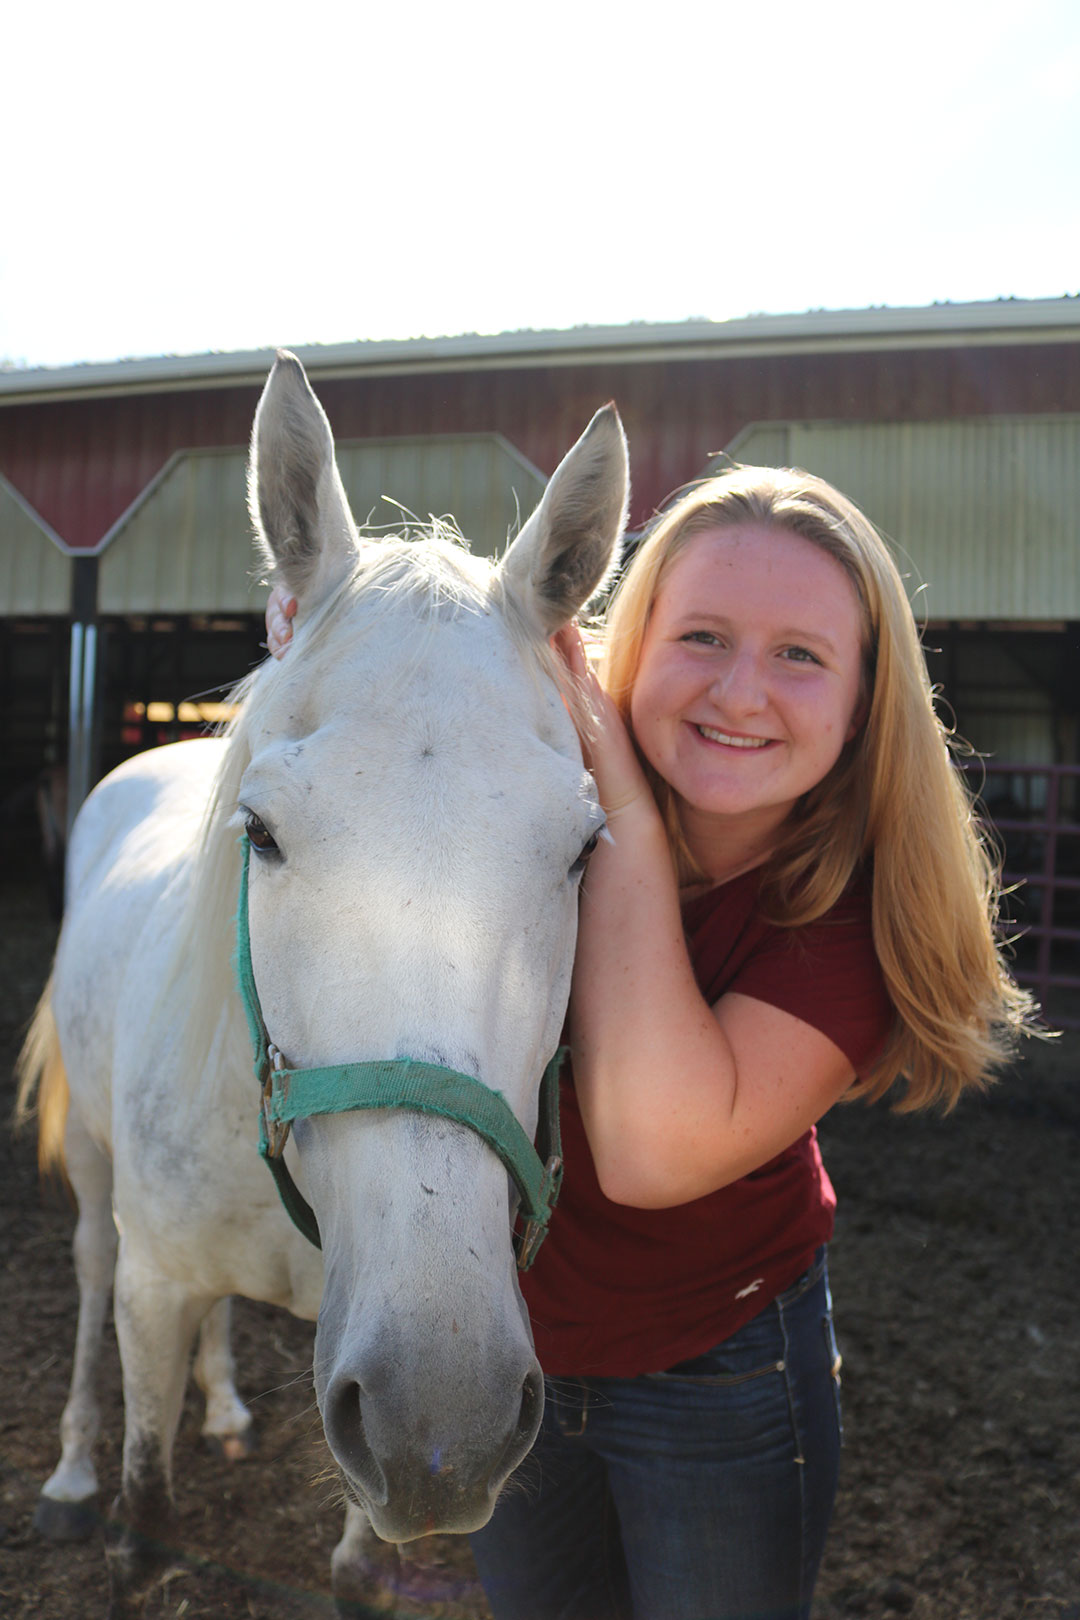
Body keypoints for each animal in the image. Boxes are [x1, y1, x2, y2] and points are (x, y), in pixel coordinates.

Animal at [16, 348, 628, 1613]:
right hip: (98, 1177)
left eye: (584, 850)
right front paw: (115, 1495)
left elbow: (357, 1567)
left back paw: (227, 1408)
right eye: (261, 833)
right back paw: (68, 1473)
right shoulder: (156, 1286)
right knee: (91, 1272)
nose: (443, 1410)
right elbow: (146, 1509)